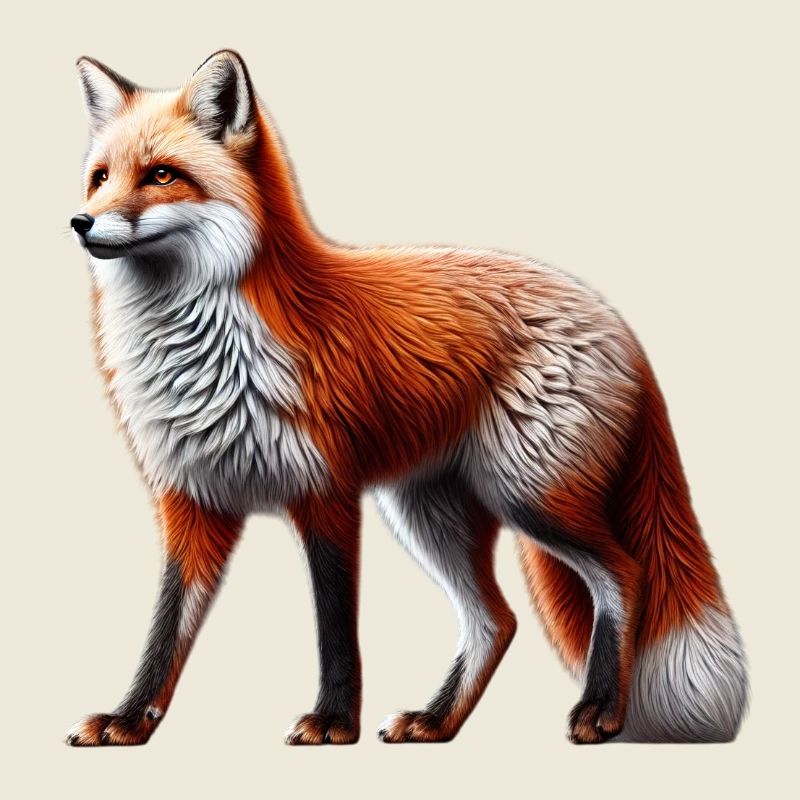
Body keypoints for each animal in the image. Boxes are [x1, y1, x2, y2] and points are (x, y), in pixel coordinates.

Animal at [67, 50, 747, 747]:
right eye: (100, 178)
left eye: (162, 175)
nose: (80, 222)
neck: (208, 354)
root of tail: (613, 318)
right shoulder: (191, 500)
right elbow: (164, 630)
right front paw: (129, 719)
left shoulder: (327, 492)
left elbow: (336, 627)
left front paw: (333, 722)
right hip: (429, 512)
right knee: (496, 620)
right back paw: (437, 720)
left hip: (531, 497)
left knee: (623, 575)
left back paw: (601, 709)